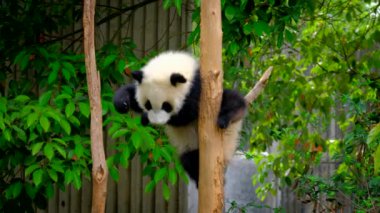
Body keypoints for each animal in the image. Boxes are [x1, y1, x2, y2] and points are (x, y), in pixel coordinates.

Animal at [113, 51, 246, 186]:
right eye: (148, 104)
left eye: (166, 105)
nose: (156, 121)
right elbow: (131, 93)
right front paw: (123, 103)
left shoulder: (197, 88)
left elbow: (187, 114)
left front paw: (145, 118)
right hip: (190, 147)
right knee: (189, 160)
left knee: (233, 100)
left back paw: (225, 118)